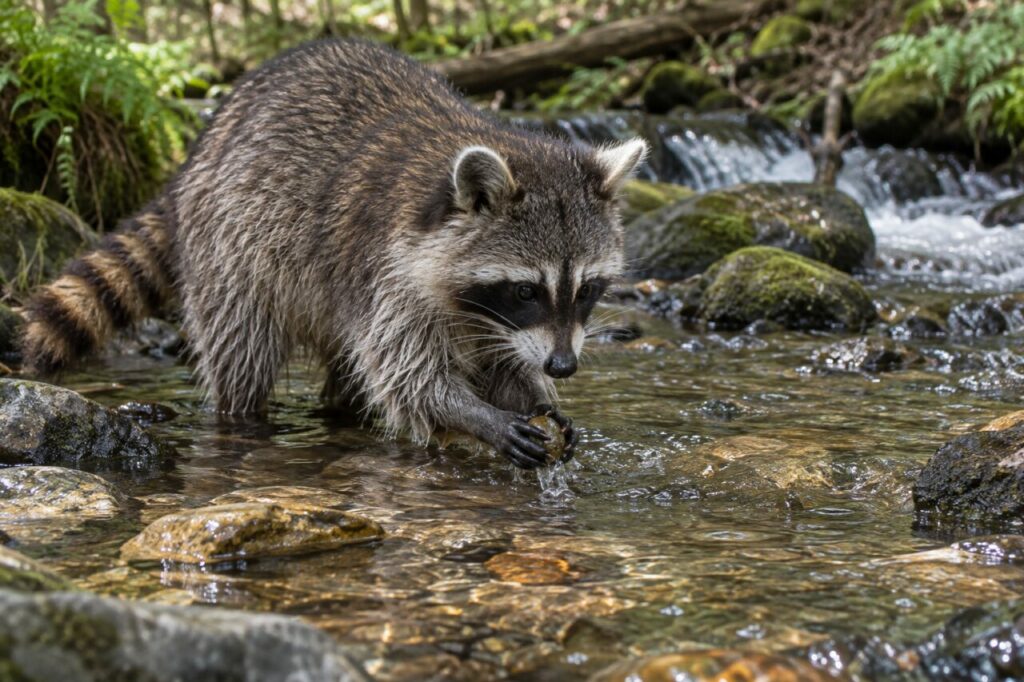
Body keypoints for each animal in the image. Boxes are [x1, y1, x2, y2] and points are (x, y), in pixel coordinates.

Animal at [22, 39, 647, 469]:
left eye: (587, 289)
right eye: (525, 290)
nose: (563, 367)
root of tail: (200, 150)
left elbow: (500, 360)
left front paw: (534, 393)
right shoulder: (388, 271)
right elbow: (407, 376)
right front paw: (475, 415)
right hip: (229, 247)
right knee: (242, 348)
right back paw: (241, 419)